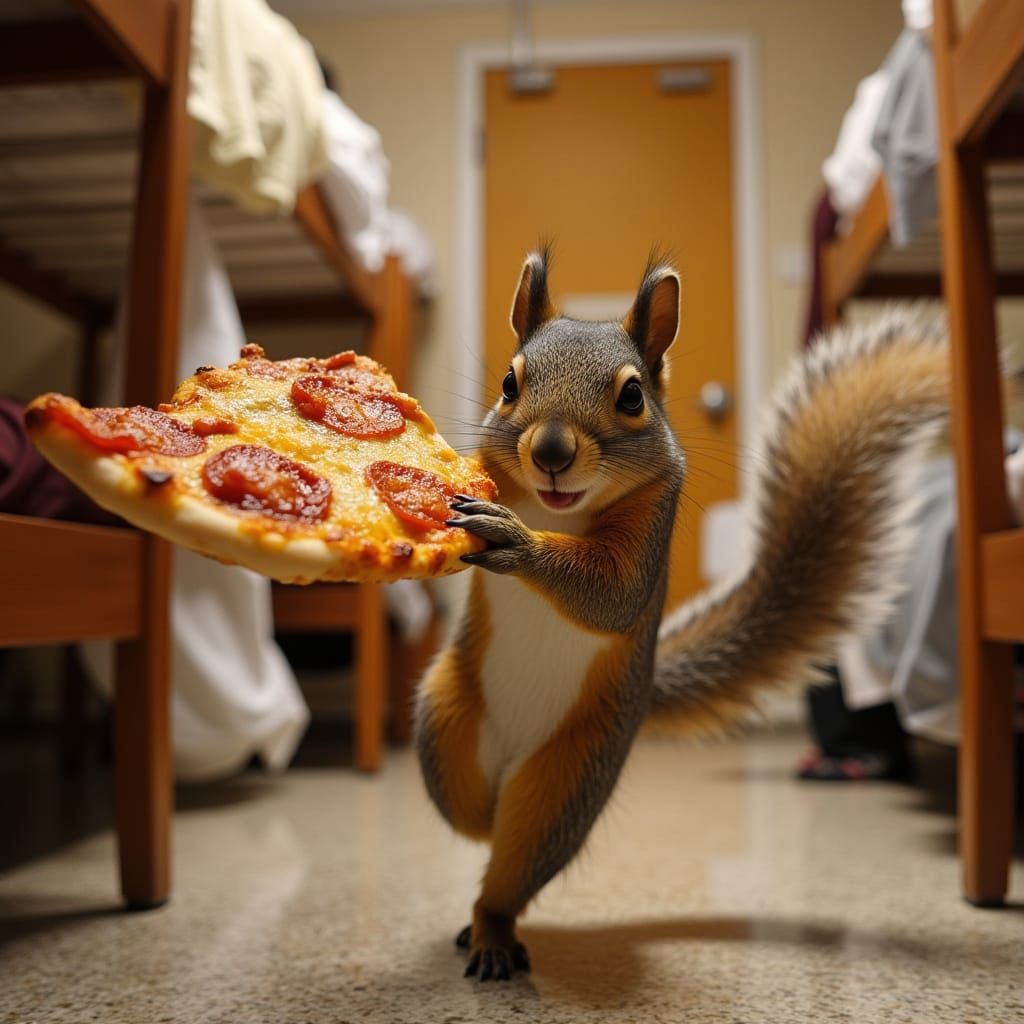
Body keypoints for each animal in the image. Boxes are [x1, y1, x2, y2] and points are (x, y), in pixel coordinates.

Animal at [415, 248, 950, 981]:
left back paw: (493, 932)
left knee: (511, 857)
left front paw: (515, 540)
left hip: (572, 777)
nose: (550, 452)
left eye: (633, 396)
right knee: (472, 817)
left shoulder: (647, 538)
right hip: (446, 718)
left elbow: (609, 593)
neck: (558, 511)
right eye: (507, 383)